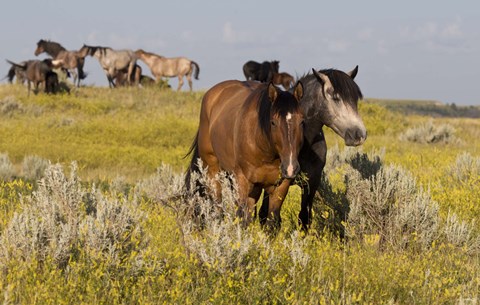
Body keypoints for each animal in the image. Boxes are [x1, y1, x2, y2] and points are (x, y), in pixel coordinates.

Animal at [185, 79, 304, 227]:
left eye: (301, 121)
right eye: (273, 122)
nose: (290, 167)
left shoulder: (281, 186)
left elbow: (271, 221)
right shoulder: (242, 181)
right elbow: (242, 219)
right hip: (213, 171)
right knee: (218, 207)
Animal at [260, 65, 366, 229]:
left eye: (355, 99)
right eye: (335, 97)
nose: (359, 134)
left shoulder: (312, 182)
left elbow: (304, 218)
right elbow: (268, 215)